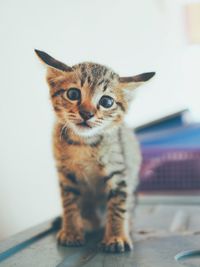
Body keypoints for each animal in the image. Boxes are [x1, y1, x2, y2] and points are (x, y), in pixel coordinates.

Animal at [35, 49, 155, 253]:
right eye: (73, 93)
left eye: (106, 101)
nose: (86, 114)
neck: (83, 143)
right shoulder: (65, 174)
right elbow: (69, 203)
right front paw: (71, 231)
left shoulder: (118, 171)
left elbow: (117, 205)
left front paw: (116, 236)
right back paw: (87, 223)